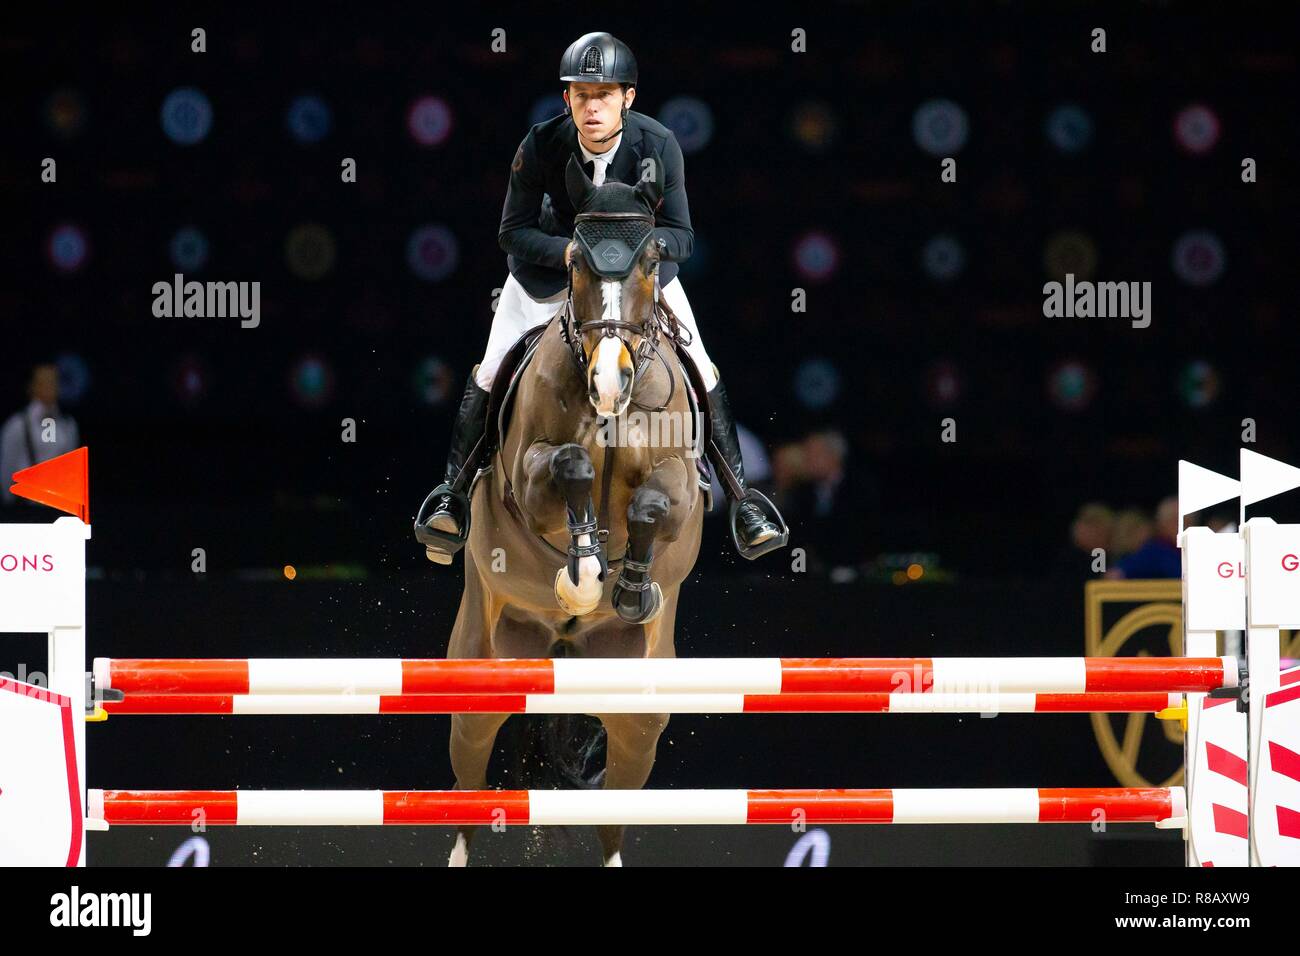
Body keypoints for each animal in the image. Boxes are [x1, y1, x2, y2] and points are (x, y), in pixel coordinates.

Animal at [449, 158, 712, 868]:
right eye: (572, 262)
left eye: (652, 259)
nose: (609, 383)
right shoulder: (526, 474)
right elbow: (570, 469)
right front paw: (582, 577)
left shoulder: (678, 481)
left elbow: (653, 505)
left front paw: (629, 588)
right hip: (483, 668)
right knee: (466, 782)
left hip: (636, 710)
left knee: (614, 813)